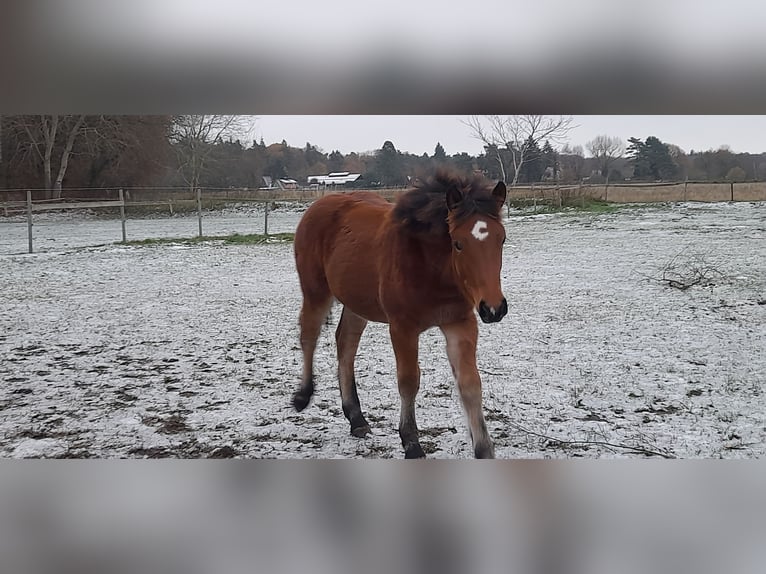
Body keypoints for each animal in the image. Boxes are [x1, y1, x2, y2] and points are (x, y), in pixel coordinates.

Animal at [292, 171, 508, 460]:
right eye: (458, 243)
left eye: (502, 239)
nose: (493, 308)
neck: (432, 268)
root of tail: (318, 205)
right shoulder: (402, 327)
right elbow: (408, 381)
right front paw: (411, 442)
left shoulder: (461, 323)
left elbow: (470, 383)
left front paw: (484, 448)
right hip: (316, 291)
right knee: (309, 335)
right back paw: (302, 397)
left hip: (357, 302)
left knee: (345, 343)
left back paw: (356, 419)